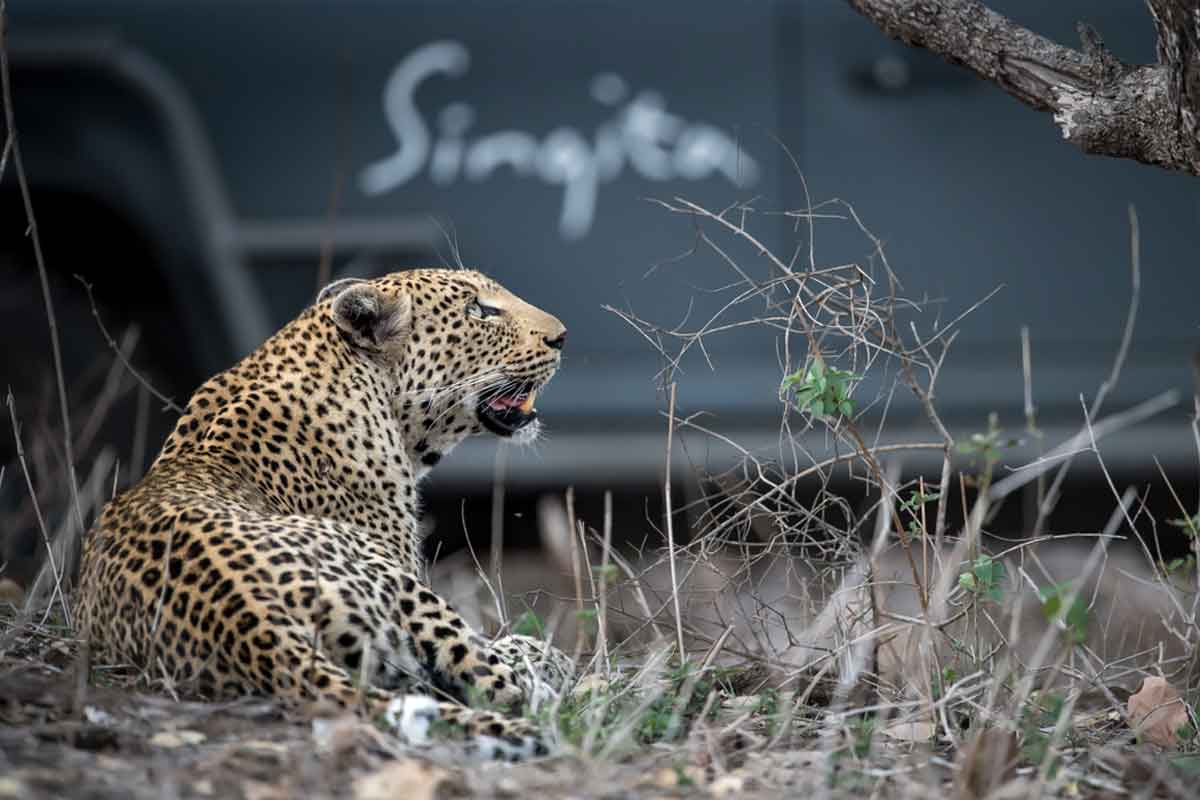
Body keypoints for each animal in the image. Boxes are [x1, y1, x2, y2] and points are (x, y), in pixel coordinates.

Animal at [73, 268, 576, 762]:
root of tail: (250, 621)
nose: (562, 337)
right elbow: (513, 653)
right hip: (405, 590)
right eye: (478, 310)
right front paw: (551, 655)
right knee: (506, 685)